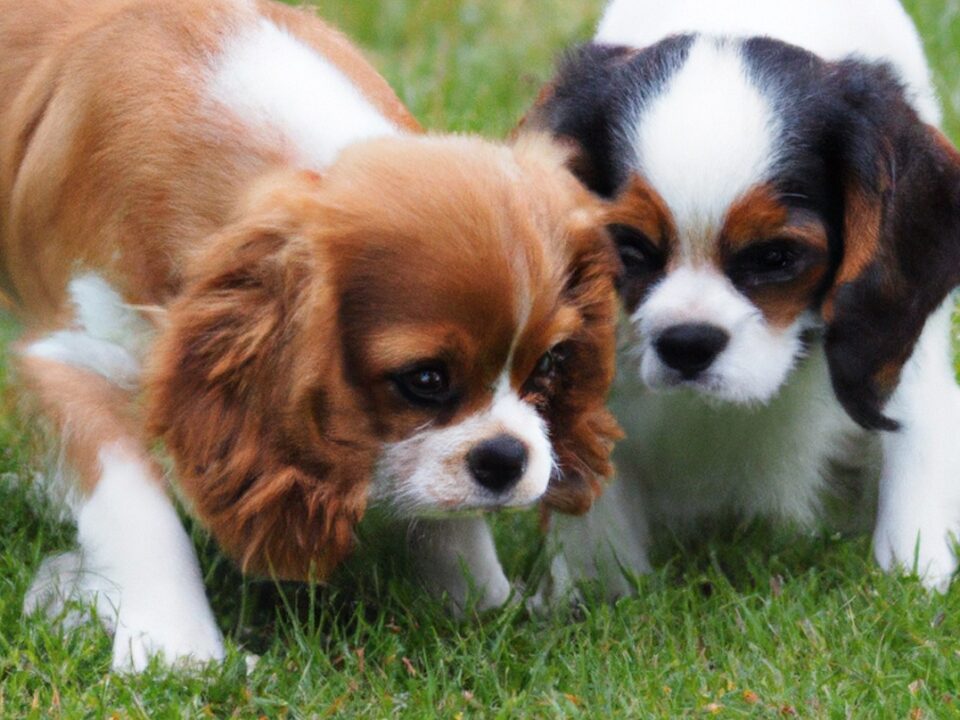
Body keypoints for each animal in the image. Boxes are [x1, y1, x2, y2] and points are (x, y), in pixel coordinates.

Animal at [1, 0, 624, 668]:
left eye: (550, 365)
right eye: (425, 379)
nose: (507, 458)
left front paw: (488, 604)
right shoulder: (74, 356)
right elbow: (137, 505)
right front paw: (179, 652)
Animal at [524, 0, 960, 600]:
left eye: (776, 257)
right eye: (629, 248)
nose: (687, 344)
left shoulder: (903, 355)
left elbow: (913, 451)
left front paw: (913, 580)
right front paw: (595, 597)